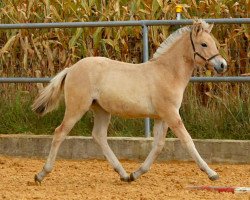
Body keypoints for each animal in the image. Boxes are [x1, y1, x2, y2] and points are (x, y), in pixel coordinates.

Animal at [31, 19, 227, 184]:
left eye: (213, 43)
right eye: (204, 44)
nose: (222, 65)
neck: (167, 73)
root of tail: (71, 69)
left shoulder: (162, 117)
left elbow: (158, 146)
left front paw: (136, 173)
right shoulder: (170, 114)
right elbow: (187, 141)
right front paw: (212, 173)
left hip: (101, 110)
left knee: (99, 136)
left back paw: (124, 174)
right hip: (77, 107)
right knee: (60, 132)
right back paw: (41, 174)